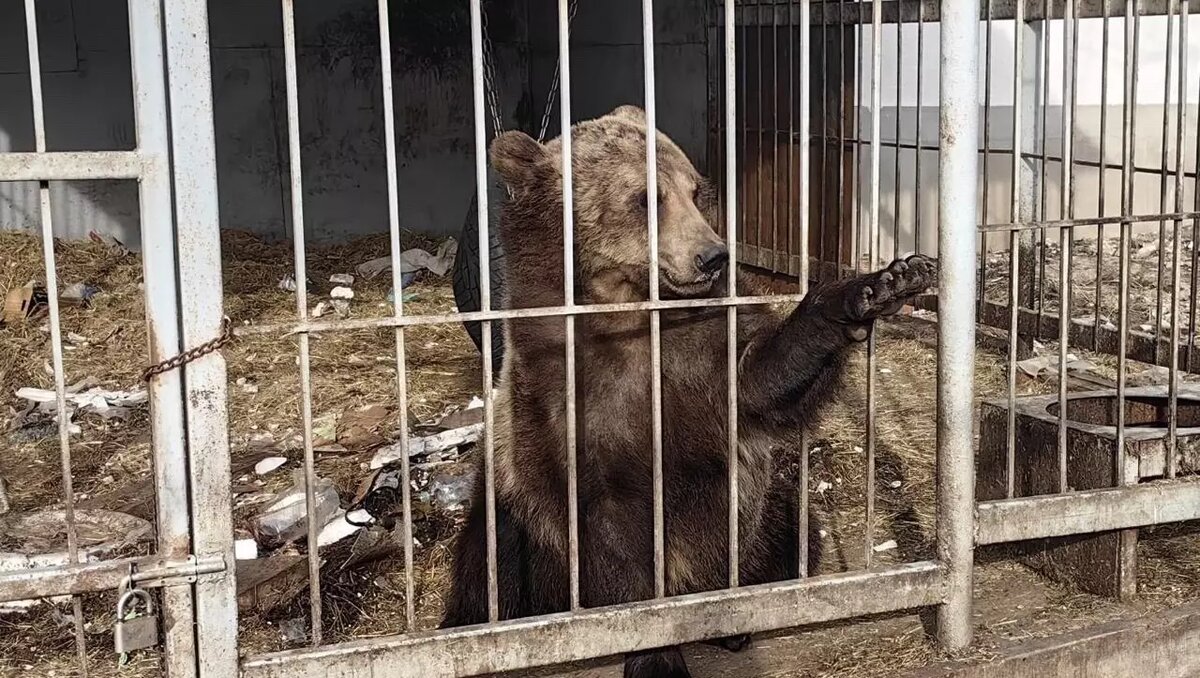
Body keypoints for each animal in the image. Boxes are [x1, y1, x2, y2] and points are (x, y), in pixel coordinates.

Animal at [441, 102, 936, 676]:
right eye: (645, 198)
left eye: (696, 190)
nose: (713, 256)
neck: (634, 311)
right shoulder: (568, 398)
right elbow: (614, 537)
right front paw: (656, 653)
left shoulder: (703, 352)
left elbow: (759, 378)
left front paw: (880, 284)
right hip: (512, 513)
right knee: (488, 568)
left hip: (761, 522)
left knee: (788, 530)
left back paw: (736, 623)